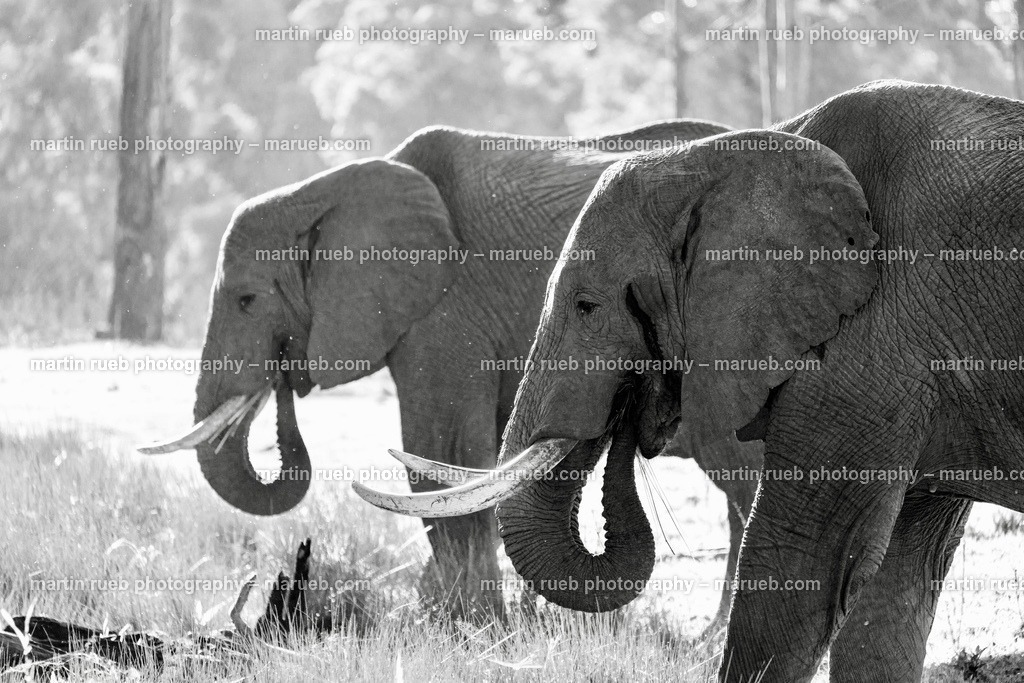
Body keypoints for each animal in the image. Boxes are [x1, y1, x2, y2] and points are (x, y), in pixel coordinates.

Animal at [140, 117, 763, 622]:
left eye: (246, 300)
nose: (284, 377)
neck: (325, 192)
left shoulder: (446, 312)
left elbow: (439, 449)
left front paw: (470, 623)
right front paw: (455, 614)